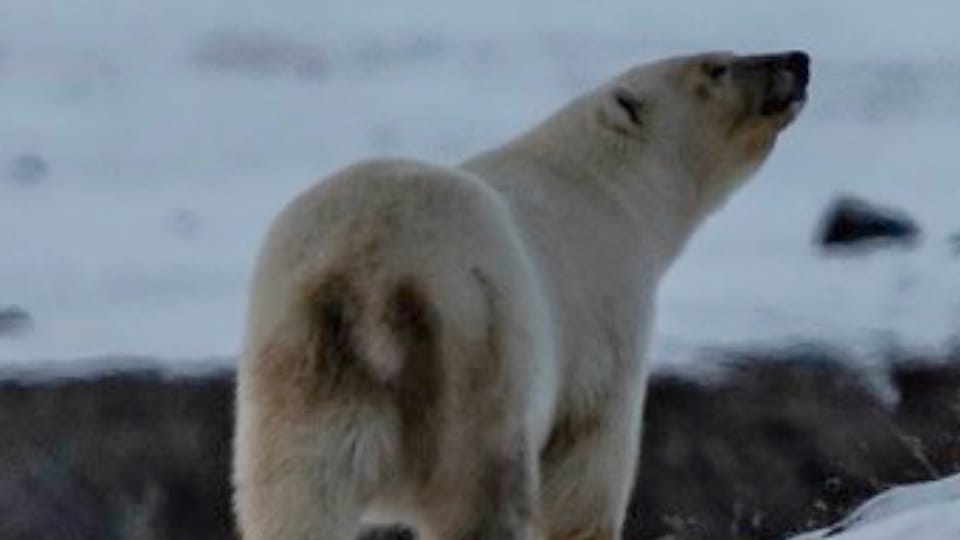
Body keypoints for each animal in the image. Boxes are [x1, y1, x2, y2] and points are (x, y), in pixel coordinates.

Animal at [233, 50, 810, 540]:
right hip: (477, 349)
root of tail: (373, 270)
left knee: (295, 498)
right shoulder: (606, 311)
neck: (603, 187)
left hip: (302, 369)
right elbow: (587, 468)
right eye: (717, 66)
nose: (797, 60)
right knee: (483, 494)